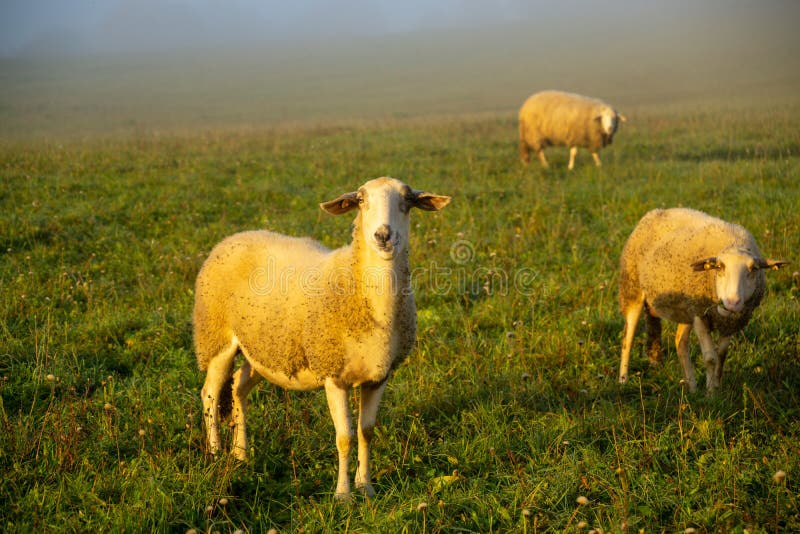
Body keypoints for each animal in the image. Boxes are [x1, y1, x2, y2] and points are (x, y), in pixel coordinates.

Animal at [194, 178, 450, 500]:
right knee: (210, 394)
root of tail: (234, 237)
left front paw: (366, 487)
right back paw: (216, 454)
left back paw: (241, 454)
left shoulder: (379, 376)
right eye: (361, 200)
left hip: (262, 348)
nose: (383, 235)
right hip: (216, 338)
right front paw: (343, 495)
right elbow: (344, 437)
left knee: (238, 386)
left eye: (407, 200)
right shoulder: (333, 375)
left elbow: (366, 432)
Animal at [620, 208, 788, 394]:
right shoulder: (700, 315)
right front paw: (710, 394)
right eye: (719, 267)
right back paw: (623, 380)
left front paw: (716, 386)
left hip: (686, 307)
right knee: (628, 339)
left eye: (754, 269)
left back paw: (691, 387)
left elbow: (721, 355)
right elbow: (710, 358)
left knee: (680, 342)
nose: (732, 303)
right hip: (633, 289)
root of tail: (656, 211)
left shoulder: (729, 323)